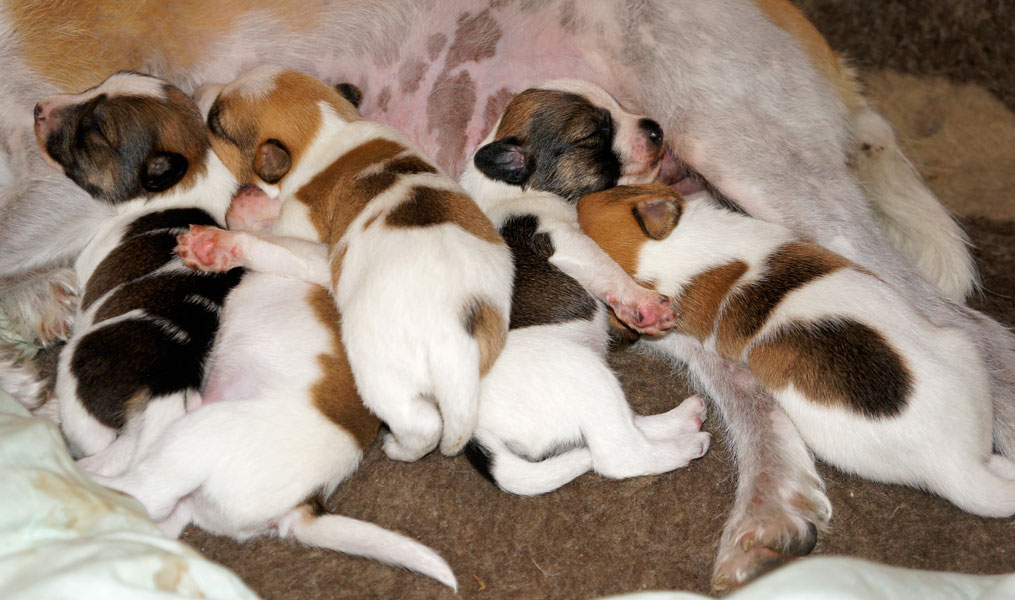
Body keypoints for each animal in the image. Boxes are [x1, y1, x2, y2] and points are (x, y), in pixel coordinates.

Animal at [31, 71, 244, 475]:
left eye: (95, 129)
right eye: (98, 85)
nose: (38, 107)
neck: (193, 174)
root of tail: (167, 387)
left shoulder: (91, 256)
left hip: (76, 369)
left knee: (96, 440)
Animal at [455, 79, 709, 494]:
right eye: (592, 135)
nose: (656, 129)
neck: (515, 188)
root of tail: (478, 436)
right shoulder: (565, 241)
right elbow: (609, 270)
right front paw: (644, 306)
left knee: (626, 425)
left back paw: (681, 419)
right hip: (585, 375)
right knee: (618, 454)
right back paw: (685, 446)